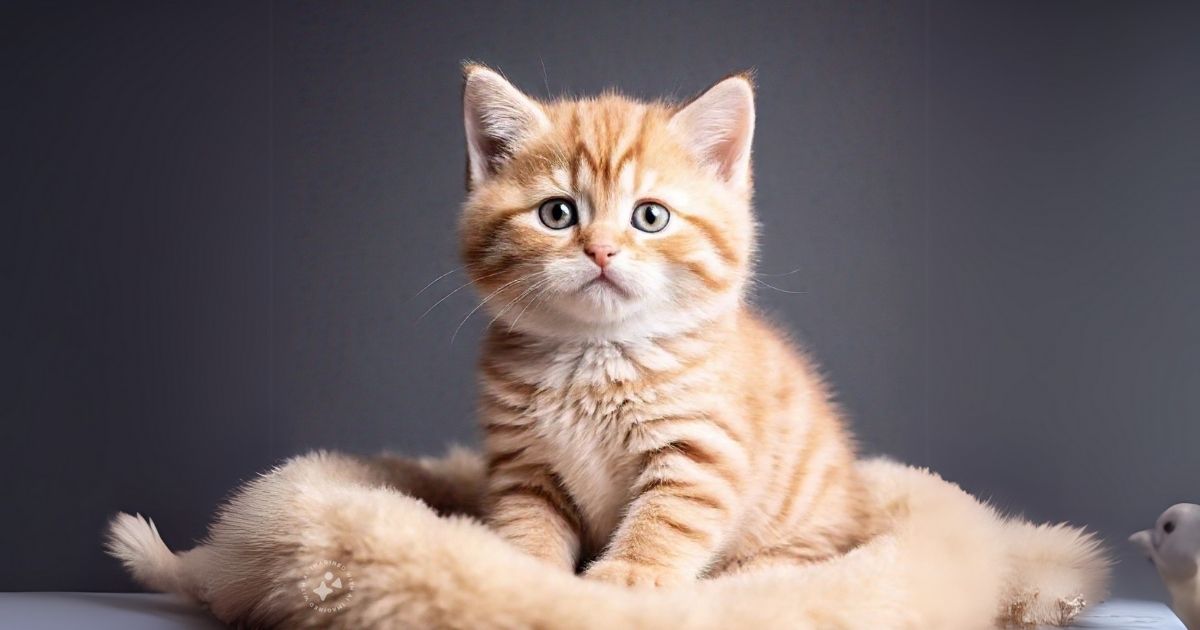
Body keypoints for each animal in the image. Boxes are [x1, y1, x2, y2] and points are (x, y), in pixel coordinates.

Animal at [460, 63, 873, 585]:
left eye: (650, 216)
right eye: (556, 213)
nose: (601, 250)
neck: (595, 353)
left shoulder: (701, 450)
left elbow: (665, 519)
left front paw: (627, 573)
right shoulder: (522, 464)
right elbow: (527, 523)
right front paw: (527, 574)